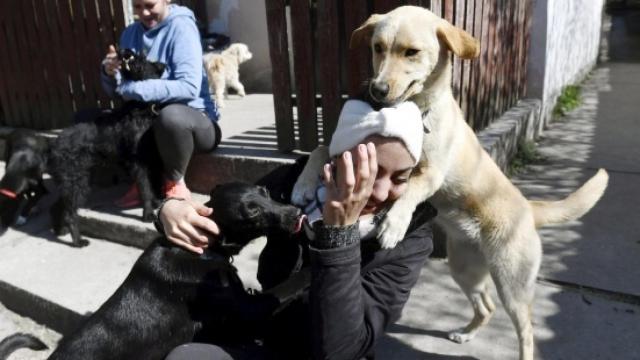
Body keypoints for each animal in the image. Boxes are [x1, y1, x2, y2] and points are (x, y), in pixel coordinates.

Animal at [0, 183, 304, 360]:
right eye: (252, 212)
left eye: (265, 192)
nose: (296, 213)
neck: (202, 246)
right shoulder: (250, 309)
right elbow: (291, 285)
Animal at [49, 49, 165, 248]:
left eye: (142, 58)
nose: (126, 52)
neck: (140, 109)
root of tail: (54, 146)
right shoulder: (138, 162)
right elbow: (145, 188)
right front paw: (148, 213)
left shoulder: (152, 158)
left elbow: (153, 184)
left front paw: (157, 202)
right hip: (76, 181)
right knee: (70, 212)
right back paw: (77, 240)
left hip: (73, 180)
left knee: (58, 205)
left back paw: (60, 230)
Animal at [292, 5, 608, 360]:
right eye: (377, 47)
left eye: (411, 52)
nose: (377, 91)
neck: (417, 112)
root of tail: (529, 208)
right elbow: (319, 149)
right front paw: (303, 185)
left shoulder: (430, 173)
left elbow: (410, 190)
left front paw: (394, 225)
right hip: (464, 268)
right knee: (486, 307)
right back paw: (467, 333)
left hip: (512, 283)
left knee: (526, 331)